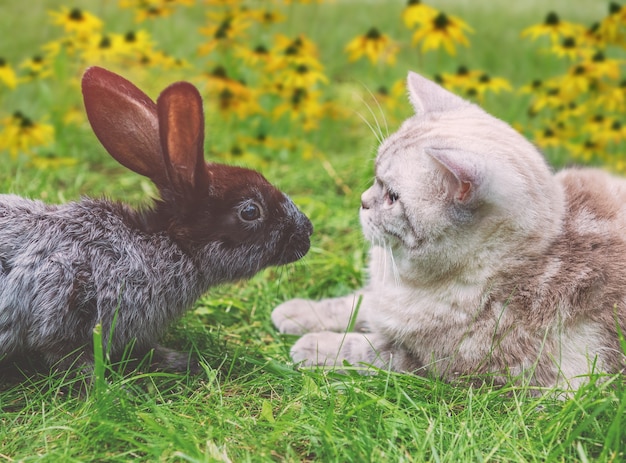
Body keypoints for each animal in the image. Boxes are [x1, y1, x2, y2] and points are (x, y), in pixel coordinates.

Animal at [272, 71, 624, 392]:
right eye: (375, 176)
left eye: (392, 197)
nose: (362, 202)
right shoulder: (380, 300)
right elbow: (353, 303)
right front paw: (296, 312)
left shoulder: (432, 366)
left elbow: (365, 350)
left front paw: (312, 345)